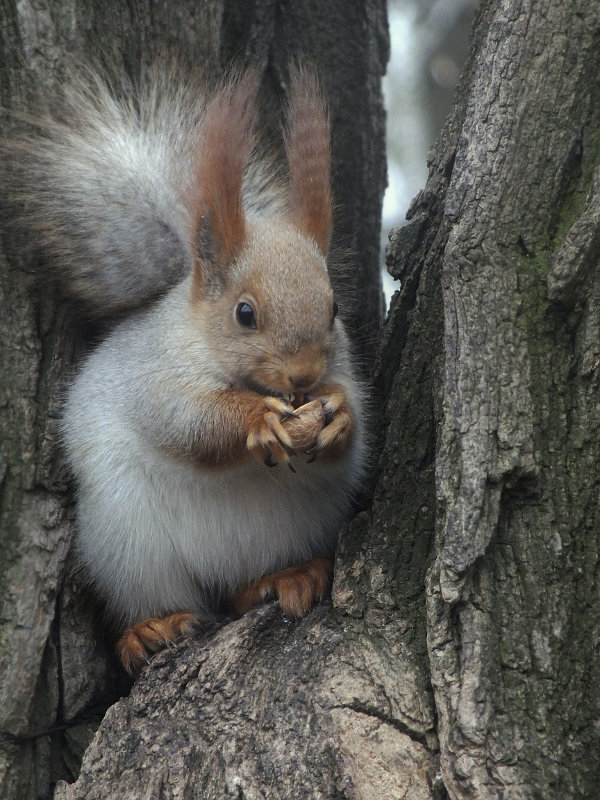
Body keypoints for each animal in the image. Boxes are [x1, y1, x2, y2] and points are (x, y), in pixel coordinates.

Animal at [5, 64, 366, 676]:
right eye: (245, 313)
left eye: (334, 308)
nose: (303, 377)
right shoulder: (153, 374)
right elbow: (186, 422)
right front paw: (257, 420)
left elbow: (360, 422)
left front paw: (337, 415)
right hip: (129, 546)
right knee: (165, 596)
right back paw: (154, 627)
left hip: (289, 529)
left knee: (244, 591)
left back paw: (289, 576)